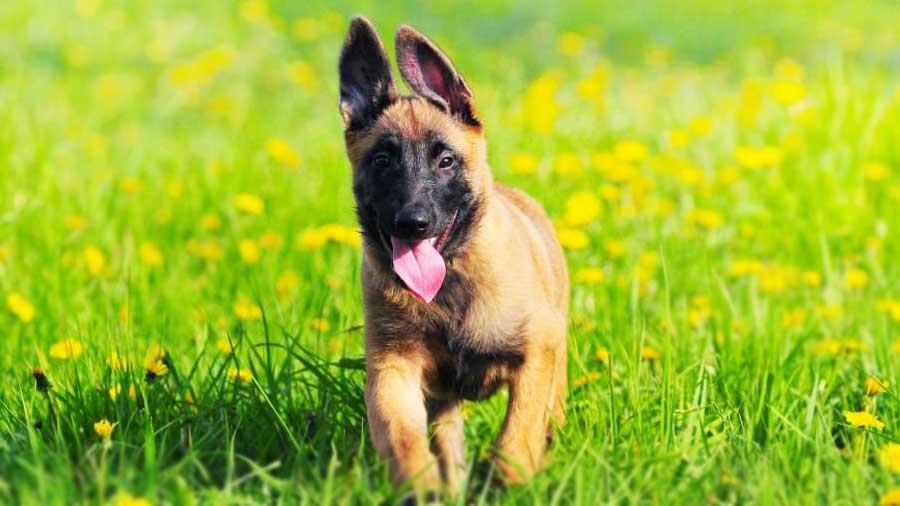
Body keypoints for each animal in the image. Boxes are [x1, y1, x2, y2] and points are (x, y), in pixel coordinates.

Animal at [338, 16, 568, 498]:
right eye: (382, 161)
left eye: (445, 160)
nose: (413, 223)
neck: (450, 288)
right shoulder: (393, 368)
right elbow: (401, 434)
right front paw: (420, 484)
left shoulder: (540, 347)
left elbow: (518, 433)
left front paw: (510, 476)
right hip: (443, 401)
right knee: (447, 438)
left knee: (548, 419)